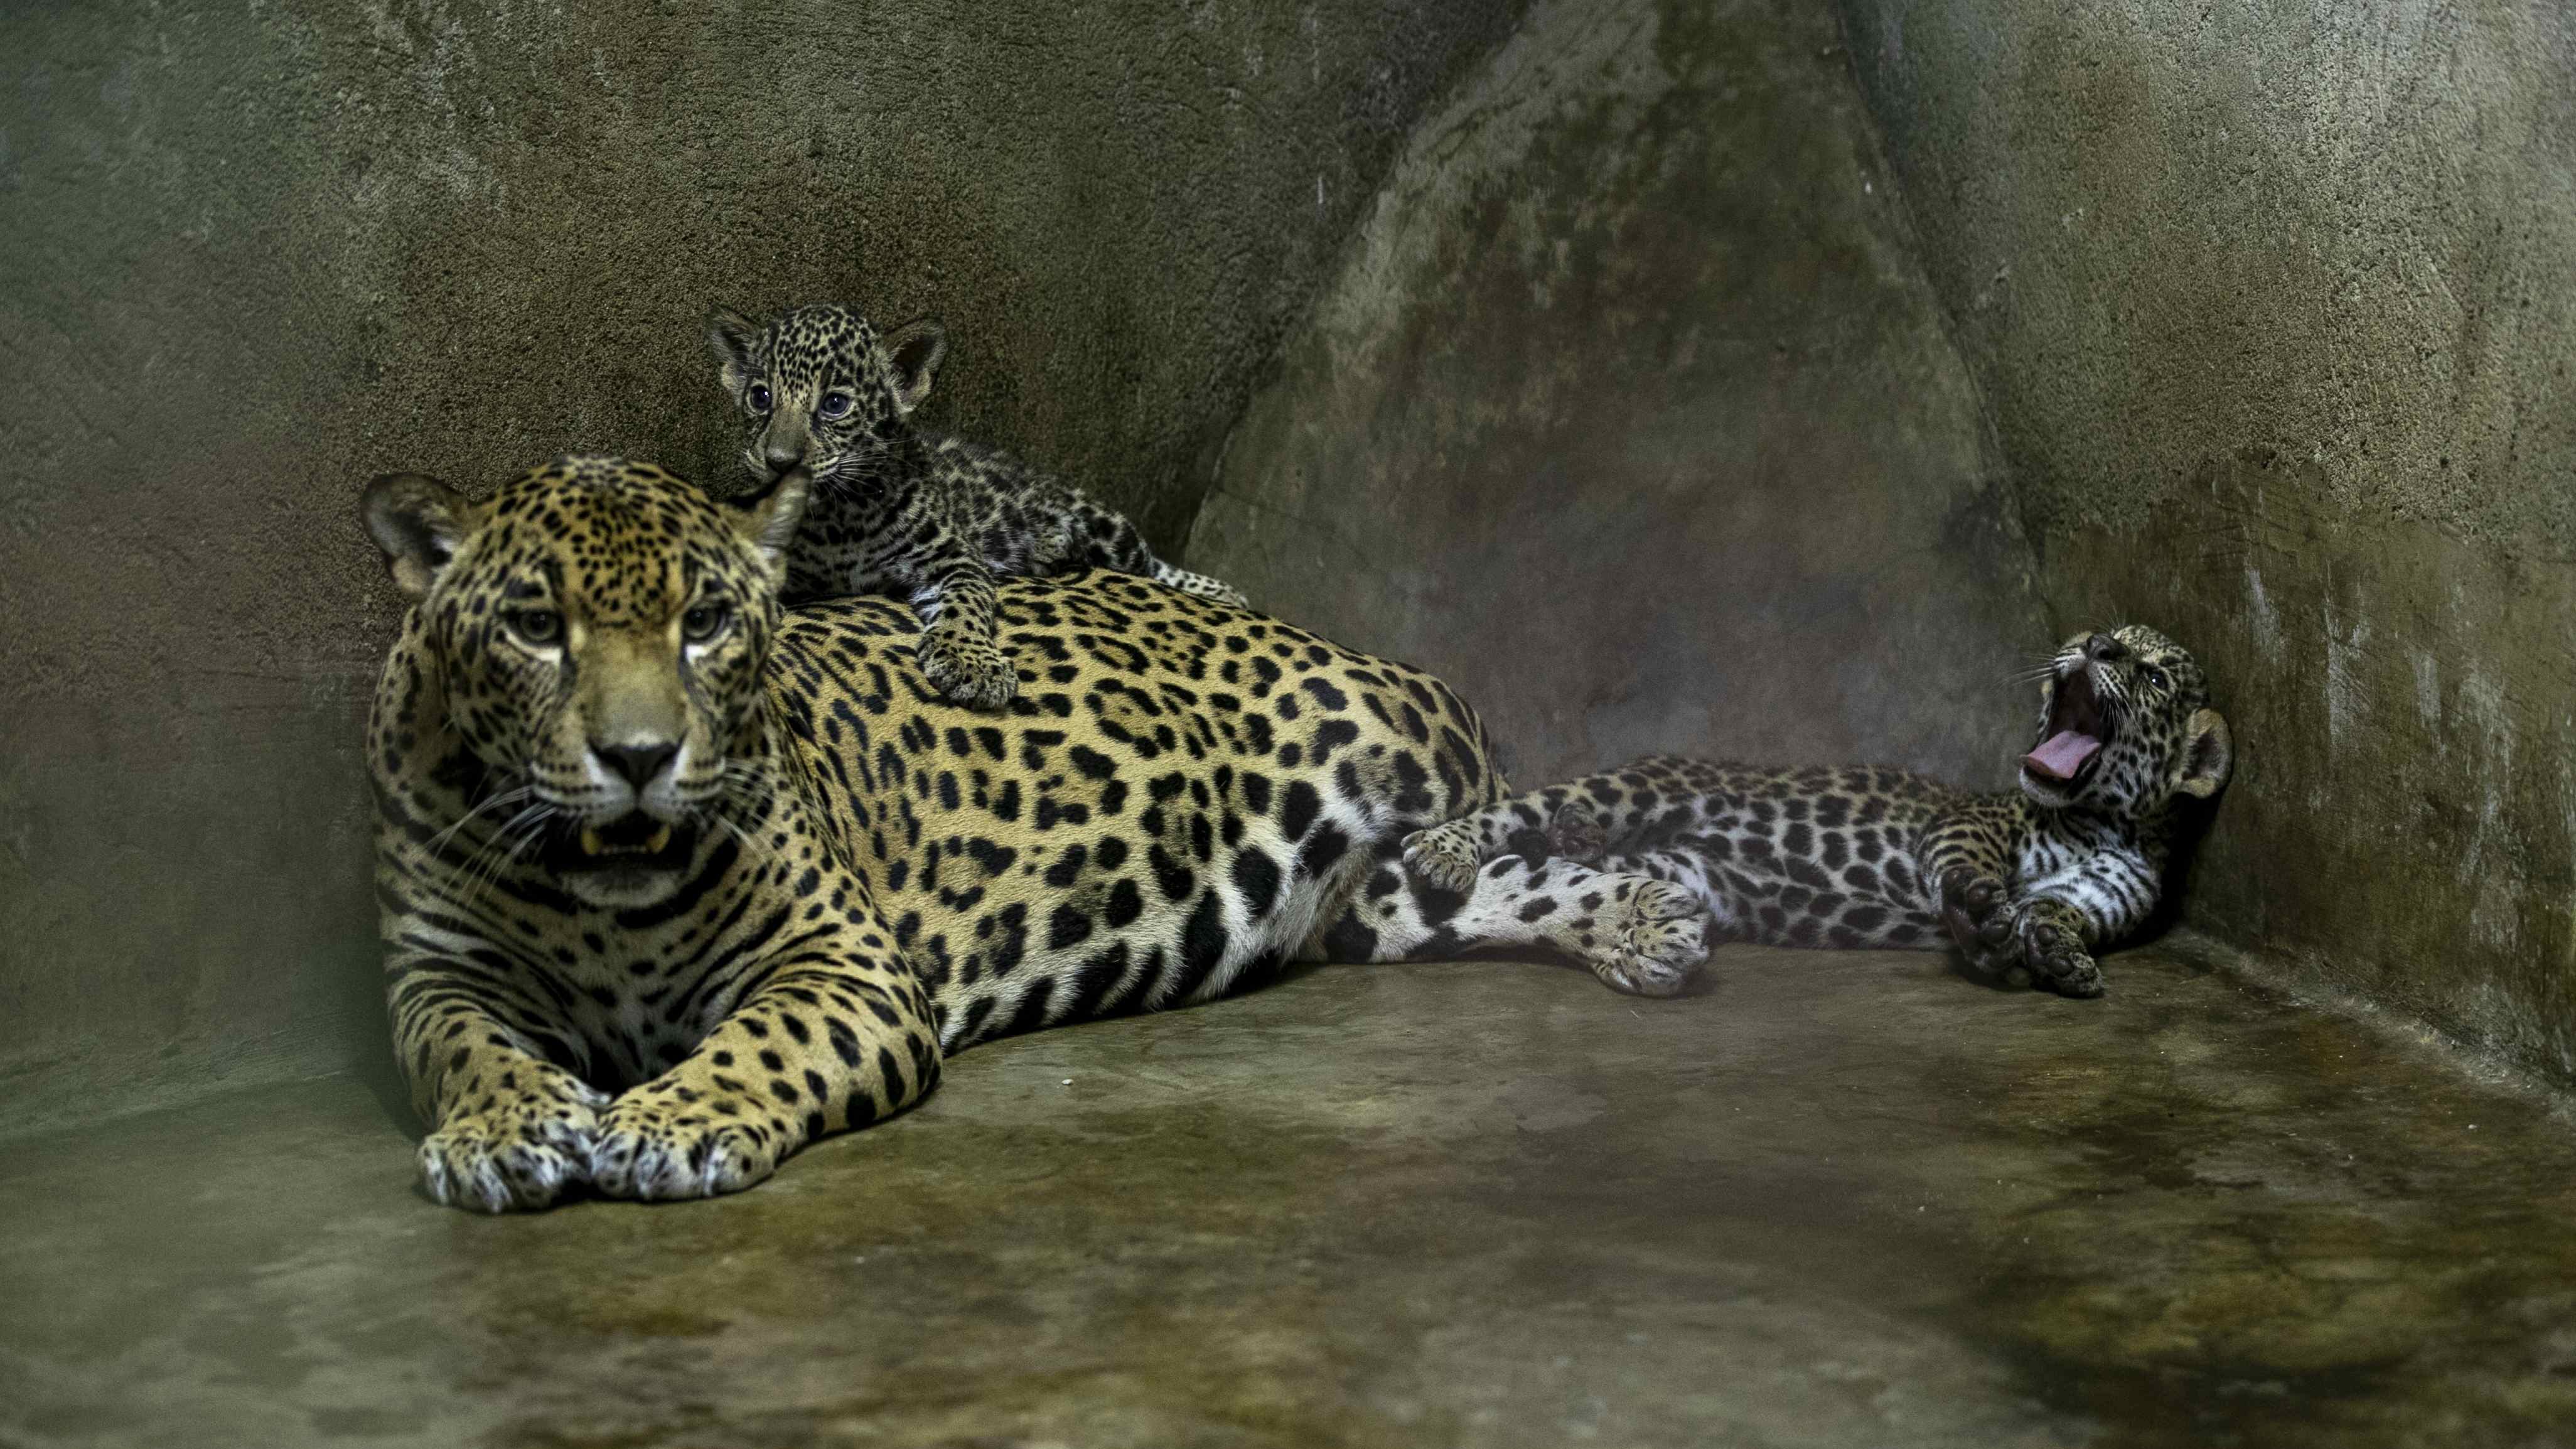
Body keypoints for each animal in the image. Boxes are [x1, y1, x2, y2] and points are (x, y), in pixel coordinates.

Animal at [357, 455, 1709, 1212]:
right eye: (538, 626)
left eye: (706, 623)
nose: (639, 758)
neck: (606, 897)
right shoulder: (435, 972)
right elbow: (465, 1048)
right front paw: (507, 1130)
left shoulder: (841, 961)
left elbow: (760, 1039)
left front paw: (671, 1120)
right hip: (1348, 895)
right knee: (1455, 892)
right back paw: (1654, 919)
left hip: (1397, 725)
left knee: (1487, 814)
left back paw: (1663, 896)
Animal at [707, 303, 1249, 712]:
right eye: (760, 397)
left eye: (835, 404)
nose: (779, 462)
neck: (840, 518)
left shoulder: (954, 559)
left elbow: (966, 607)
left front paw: (971, 665)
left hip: (1108, 529)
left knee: (1152, 562)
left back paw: (1222, 591)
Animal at [1401, 624, 2231, 998]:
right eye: (2096, 636)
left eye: (2152, 673)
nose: (2094, 646)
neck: (2101, 819)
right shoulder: (1972, 824)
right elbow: (1967, 868)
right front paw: (1980, 913)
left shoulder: (2098, 897)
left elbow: (2055, 913)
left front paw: (2055, 954)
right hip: (1642, 787)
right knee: (1518, 812)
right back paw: (1444, 851)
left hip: (1679, 868)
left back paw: (1579, 851)